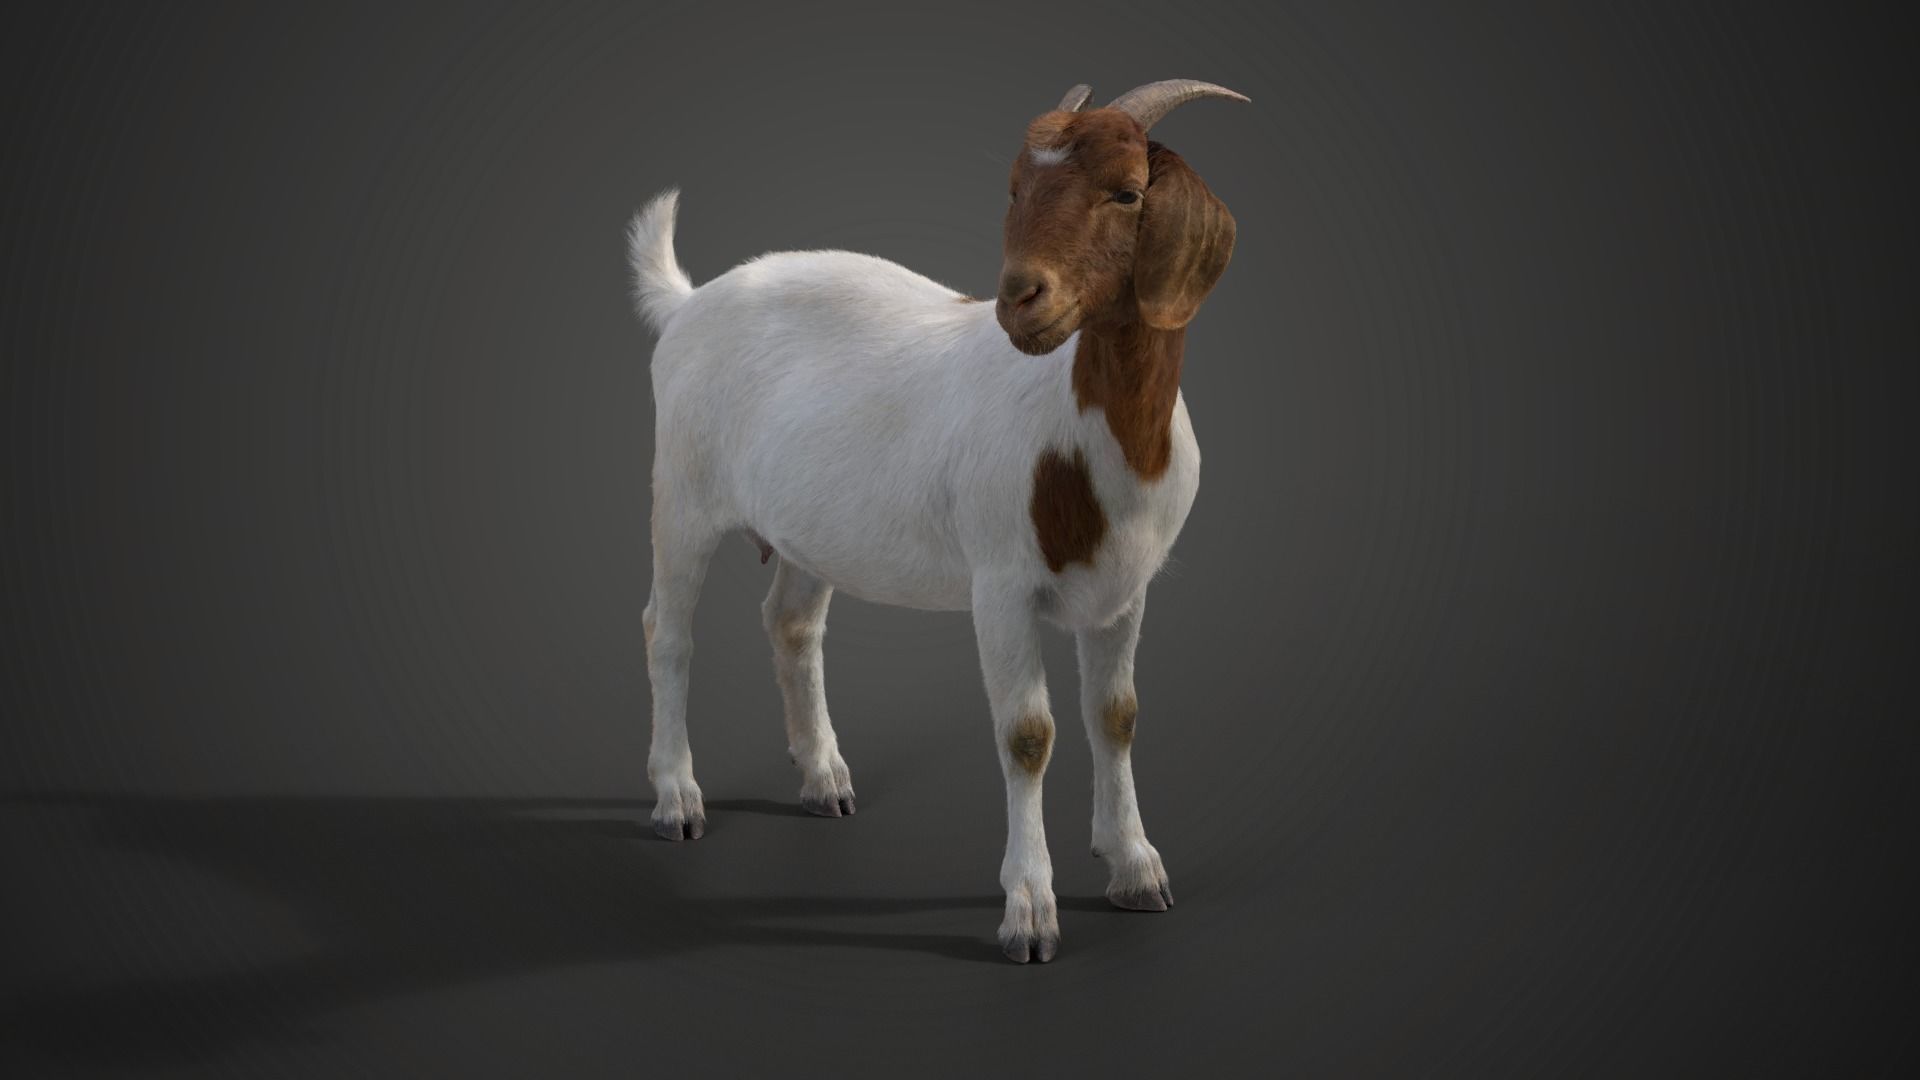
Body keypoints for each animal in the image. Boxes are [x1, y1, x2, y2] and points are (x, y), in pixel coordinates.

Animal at [627, 79, 1247, 963]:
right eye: (1016, 190)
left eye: (1128, 193)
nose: (1019, 298)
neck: (1094, 440)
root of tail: (688, 304)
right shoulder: (1001, 584)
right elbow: (1028, 733)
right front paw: (1030, 911)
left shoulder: (1127, 590)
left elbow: (1117, 716)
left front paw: (1134, 867)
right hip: (681, 490)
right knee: (668, 630)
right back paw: (678, 798)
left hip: (812, 525)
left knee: (790, 623)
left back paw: (824, 779)